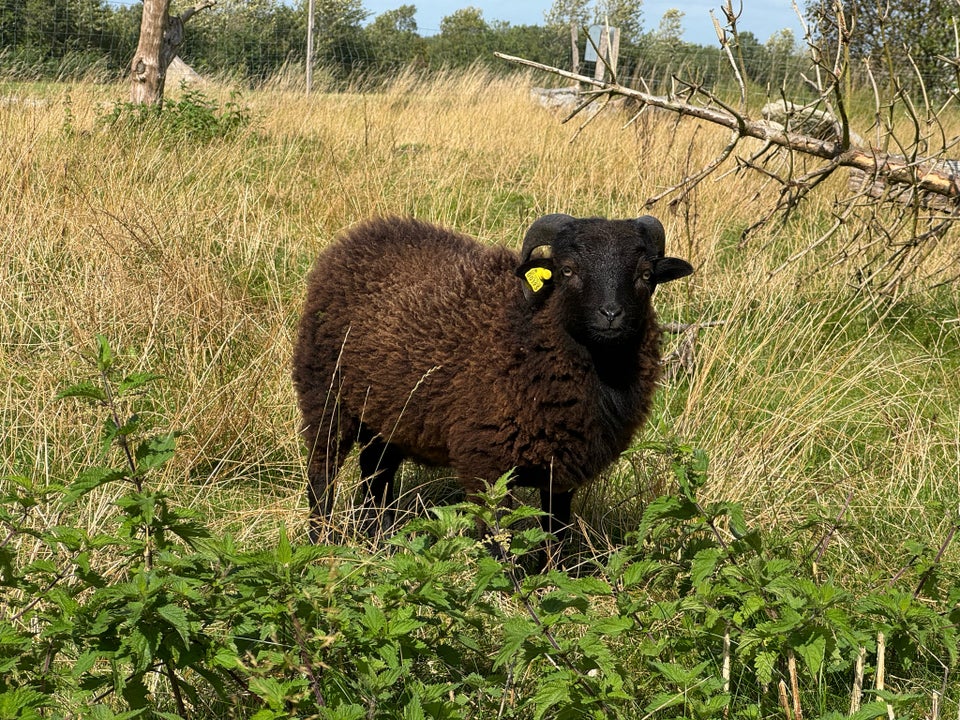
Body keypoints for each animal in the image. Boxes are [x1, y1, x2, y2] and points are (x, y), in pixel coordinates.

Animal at [288, 214, 692, 544]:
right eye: (567, 270)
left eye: (645, 275)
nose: (611, 314)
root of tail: (360, 234)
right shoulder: (486, 462)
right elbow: (497, 540)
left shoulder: (560, 472)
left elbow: (557, 535)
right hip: (324, 392)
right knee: (322, 472)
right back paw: (321, 541)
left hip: (389, 415)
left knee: (376, 473)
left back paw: (380, 541)